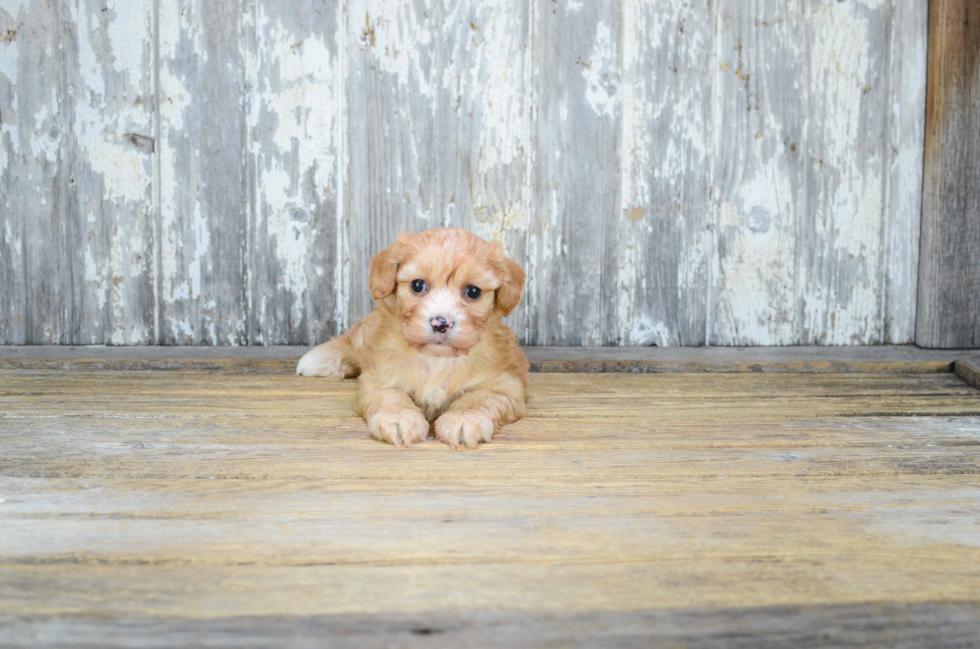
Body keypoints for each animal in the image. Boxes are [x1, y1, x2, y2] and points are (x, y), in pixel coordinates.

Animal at [296, 227, 528, 446]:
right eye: (417, 285)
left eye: (473, 291)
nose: (440, 323)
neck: (436, 358)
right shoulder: (379, 376)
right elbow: (391, 394)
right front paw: (399, 418)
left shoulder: (505, 386)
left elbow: (479, 397)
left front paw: (464, 418)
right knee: (353, 340)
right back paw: (320, 358)